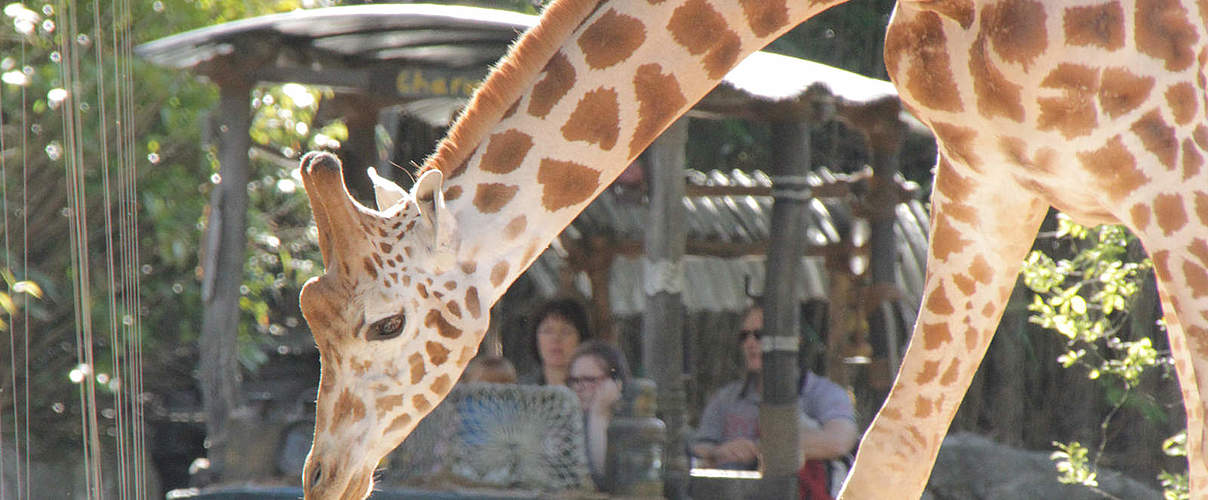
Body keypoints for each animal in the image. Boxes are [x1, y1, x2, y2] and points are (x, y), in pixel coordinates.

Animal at [289, 0, 1208, 495]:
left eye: (387, 324)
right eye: (311, 321)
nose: (324, 479)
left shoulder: (1178, 181)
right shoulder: (988, 175)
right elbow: (892, 450)